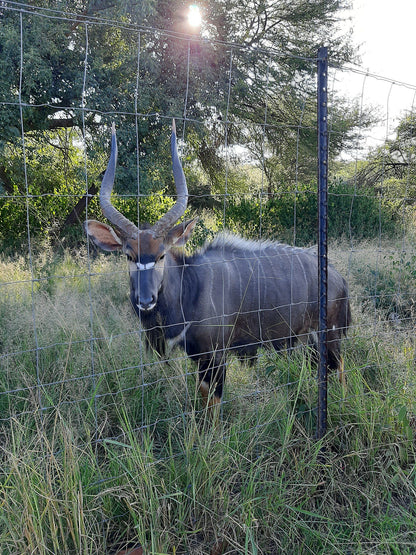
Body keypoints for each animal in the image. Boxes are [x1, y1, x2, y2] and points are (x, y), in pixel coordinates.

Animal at [84, 122, 352, 412]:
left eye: (162, 255)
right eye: (129, 255)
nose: (146, 300)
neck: (190, 286)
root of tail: (337, 277)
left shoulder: (215, 355)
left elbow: (212, 404)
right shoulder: (198, 357)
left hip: (330, 337)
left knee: (339, 369)